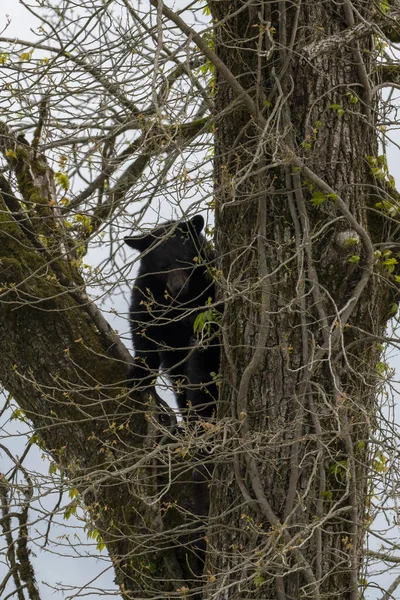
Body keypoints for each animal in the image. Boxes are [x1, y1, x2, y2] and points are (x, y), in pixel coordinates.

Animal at [124, 214, 219, 418]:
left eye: (183, 260)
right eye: (163, 266)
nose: (178, 288)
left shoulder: (209, 284)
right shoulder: (148, 291)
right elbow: (142, 326)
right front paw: (139, 375)